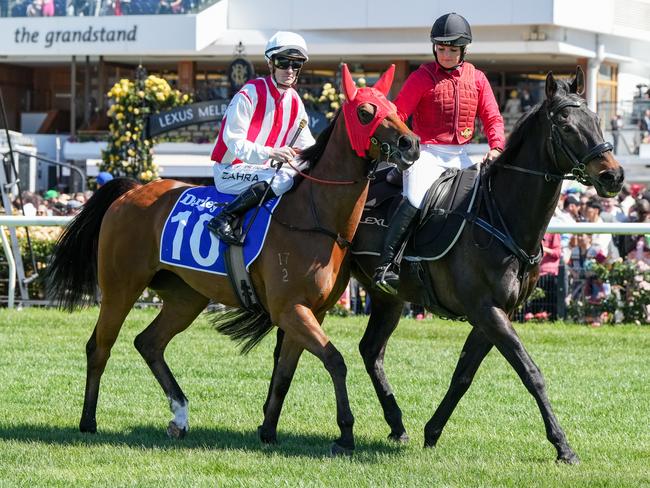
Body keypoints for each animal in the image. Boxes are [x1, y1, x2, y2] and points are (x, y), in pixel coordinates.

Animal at [45, 63, 420, 454]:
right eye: (365, 112)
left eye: (395, 108)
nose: (411, 144)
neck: (315, 217)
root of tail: (133, 189)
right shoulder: (290, 309)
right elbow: (335, 360)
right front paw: (345, 432)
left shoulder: (307, 311)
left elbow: (285, 372)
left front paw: (268, 430)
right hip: (121, 287)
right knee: (99, 346)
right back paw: (88, 421)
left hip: (185, 296)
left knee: (148, 342)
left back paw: (180, 416)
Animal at [264, 67, 624, 462]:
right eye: (565, 124)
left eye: (596, 119)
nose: (614, 176)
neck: (498, 215)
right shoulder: (487, 311)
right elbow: (531, 372)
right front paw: (563, 445)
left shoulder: (494, 315)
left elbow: (463, 376)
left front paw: (432, 431)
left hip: (387, 298)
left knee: (370, 351)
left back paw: (397, 424)